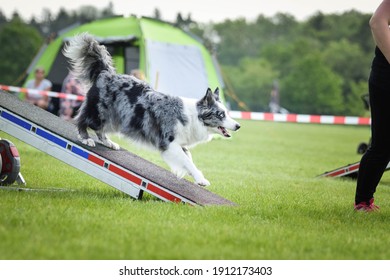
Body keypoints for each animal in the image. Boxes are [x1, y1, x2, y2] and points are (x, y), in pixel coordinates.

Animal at [63, 33, 241, 186]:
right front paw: (200, 179)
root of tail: (106, 73)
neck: (194, 117)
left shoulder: (180, 143)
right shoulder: (169, 142)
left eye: (227, 113)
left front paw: (195, 176)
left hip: (115, 119)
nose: (238, 125)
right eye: (220, 114)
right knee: (82, 120)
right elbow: (186, 161)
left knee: (100, 130)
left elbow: (189, 159)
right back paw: (86, 138)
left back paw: (109, 143)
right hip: (100, 112)